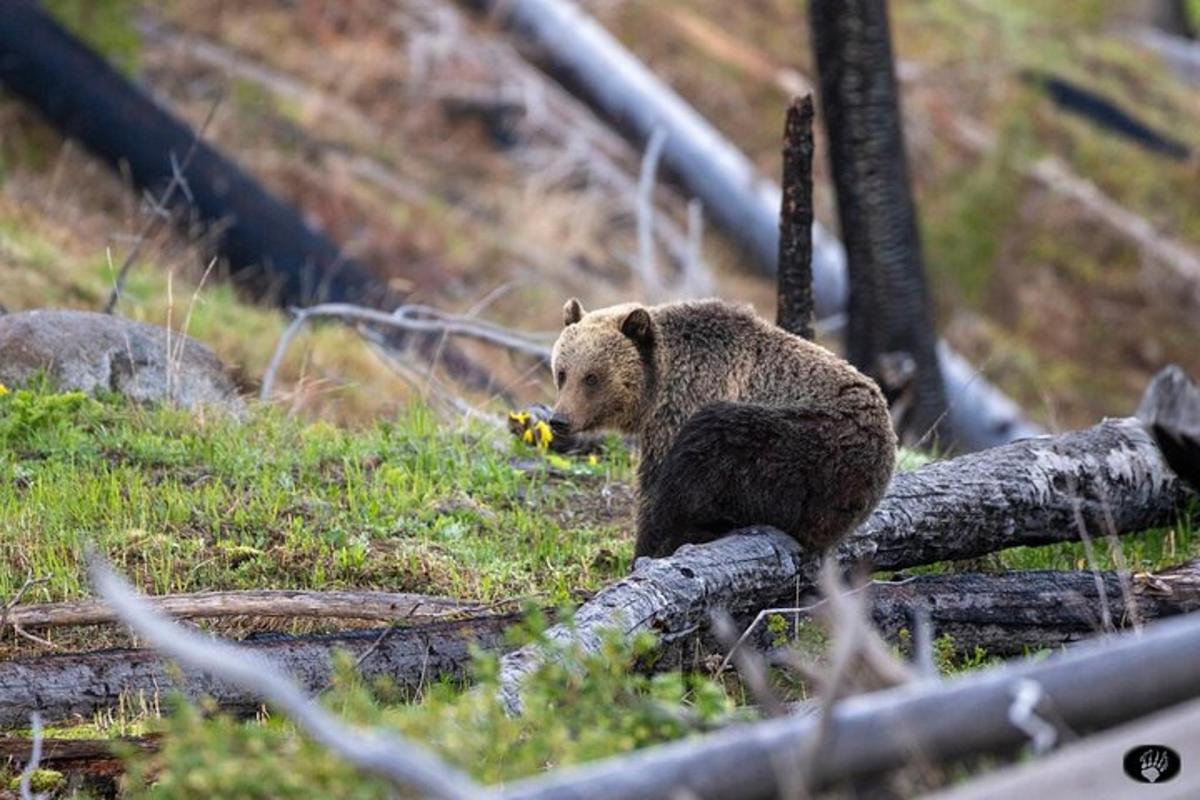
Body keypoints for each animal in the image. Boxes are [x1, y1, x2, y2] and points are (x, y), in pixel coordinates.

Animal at [549, 297, 897, 561]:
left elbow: (656, 488)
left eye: (592, 378)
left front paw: (646, 549)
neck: (660, 383)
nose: (559, 420)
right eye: (562, 372)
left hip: (806, 449)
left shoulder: (686, 403)